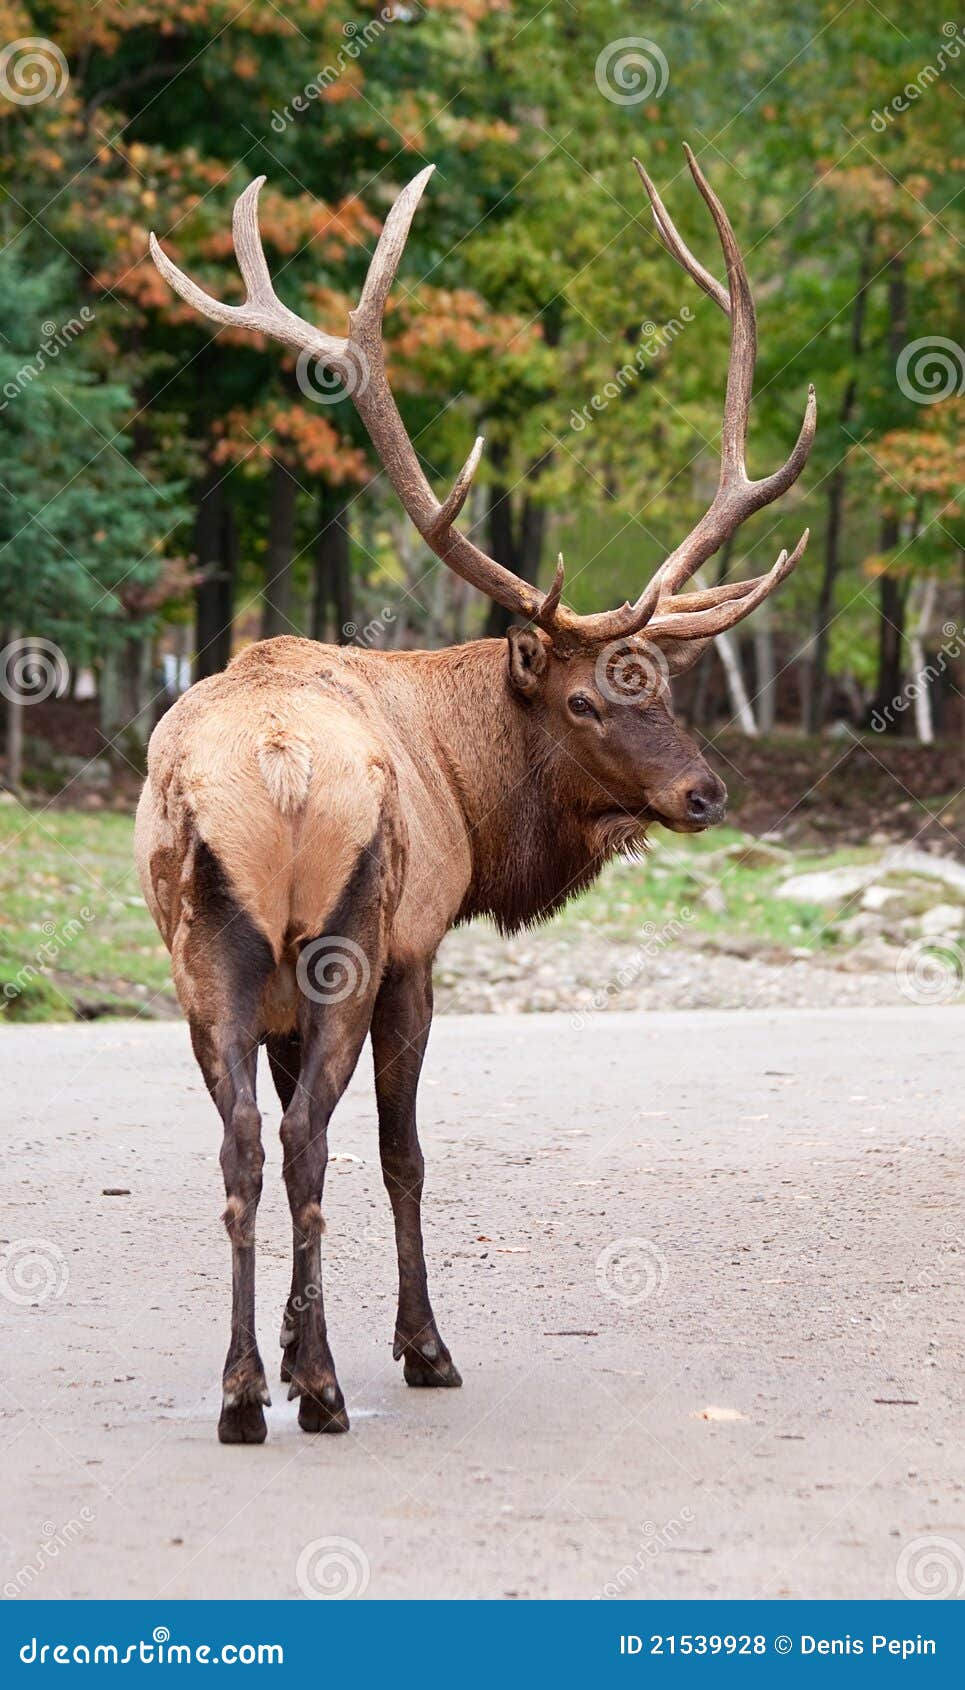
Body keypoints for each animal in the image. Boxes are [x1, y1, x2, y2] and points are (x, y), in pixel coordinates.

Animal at [138, 146, 816, 1443]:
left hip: (210, 954)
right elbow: (401, 1152)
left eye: (662, 680)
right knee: (307, 1141)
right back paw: (329, 1389)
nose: (702, 792)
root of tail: (279, 768)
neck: (464, 782)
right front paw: (413, 1347)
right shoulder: (416, 944)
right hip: (346, 936)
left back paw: (244, 1392)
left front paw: (294, 1349)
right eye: (587, 699)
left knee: (244, 1144)